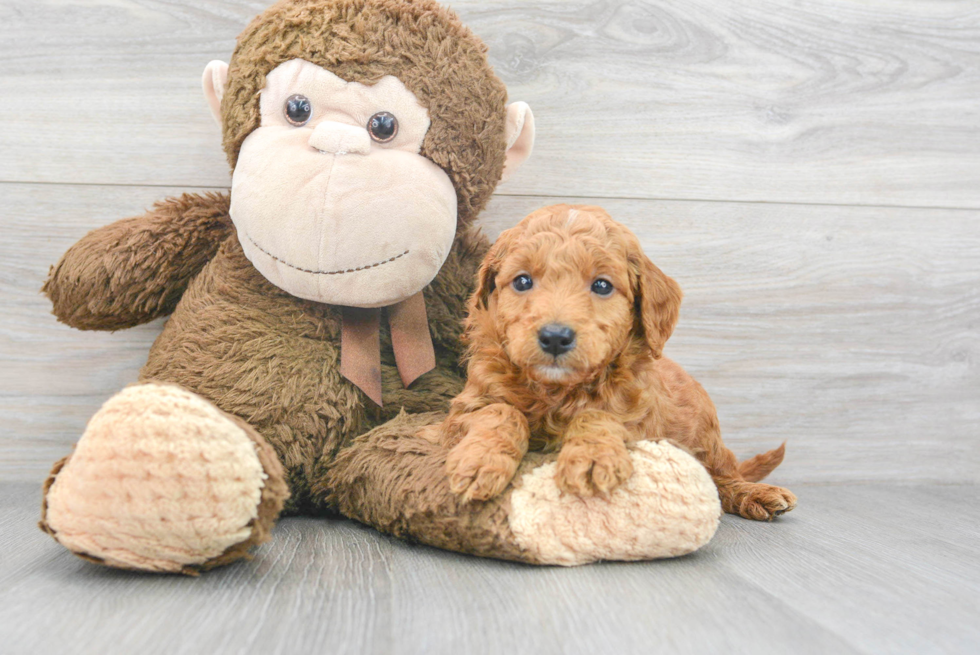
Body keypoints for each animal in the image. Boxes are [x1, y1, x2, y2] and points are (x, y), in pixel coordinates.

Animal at [440, 205, 800, 524]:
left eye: (602, 285)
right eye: (522, 281)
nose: (555, 337)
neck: (557, 391)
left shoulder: (638, 418)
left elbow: (598, 415)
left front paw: (591, 458)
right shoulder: (464, 408)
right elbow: (500, 412)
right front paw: (479, 460)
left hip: (706, 438)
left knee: (721, 476)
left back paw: (758, 494)